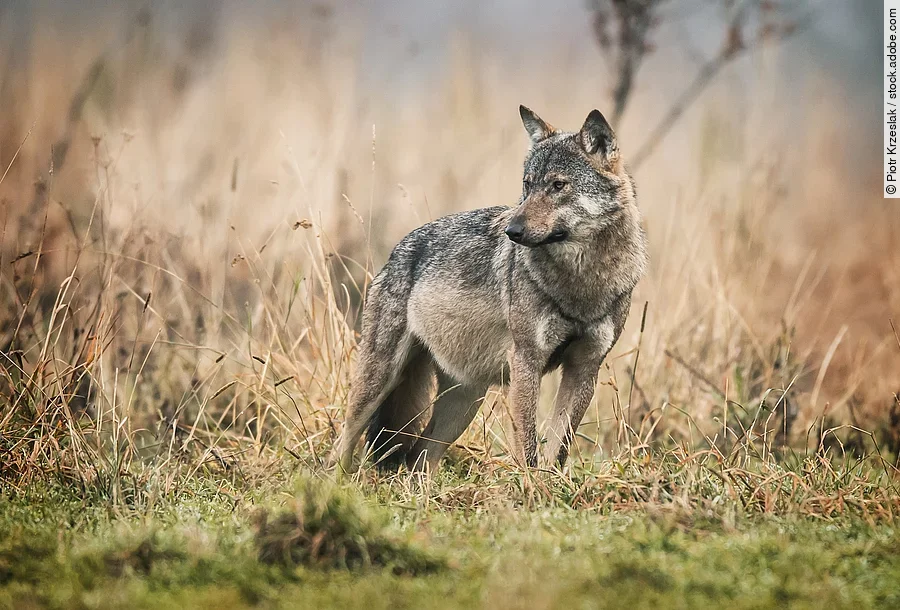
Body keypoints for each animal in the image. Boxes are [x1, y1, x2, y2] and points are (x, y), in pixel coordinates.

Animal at [337, 106, 648, 473]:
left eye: (558, 185)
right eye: (527, 185)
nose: (512, 231)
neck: (582, 282)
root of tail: (397, 250)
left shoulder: (585, 366)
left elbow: (559, 447)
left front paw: (552, 483)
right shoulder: (526, 361)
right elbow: (527, 446)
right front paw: (530, 485)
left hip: (463, 404)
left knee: (419, 458)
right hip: (379, 381)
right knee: (344, 443)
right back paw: (333, 480)